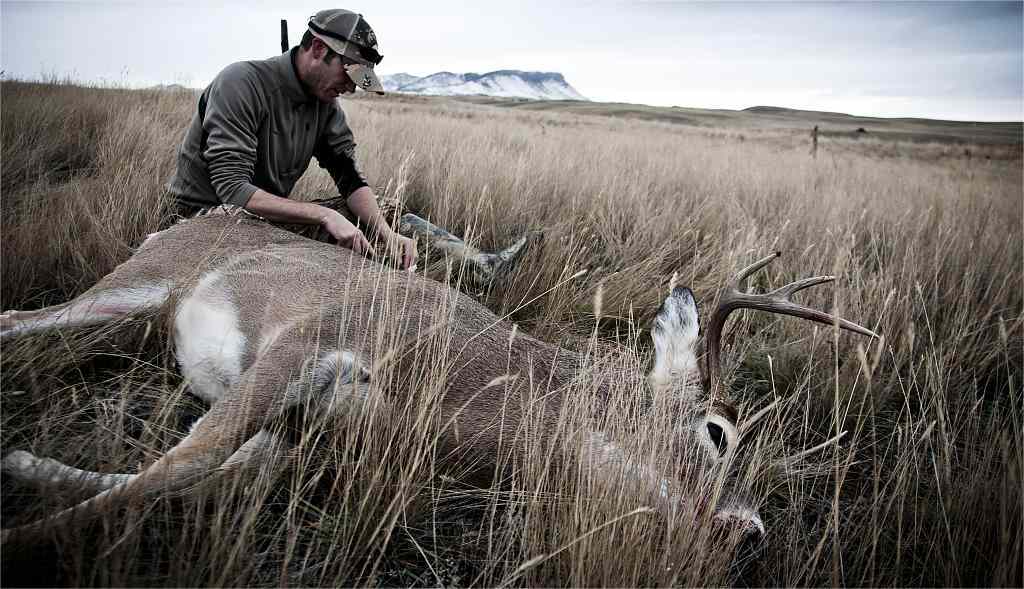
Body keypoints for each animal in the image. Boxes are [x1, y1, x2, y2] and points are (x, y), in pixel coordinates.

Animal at [2, 212, 880, 549]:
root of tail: (183, 221)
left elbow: (210, 469)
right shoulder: (308, 338)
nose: (750, 531)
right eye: (717, 432)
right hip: (132, 287)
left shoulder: (307, 434)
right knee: (15, 319)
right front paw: (21, 537)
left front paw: (23, 468)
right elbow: (184, 460)